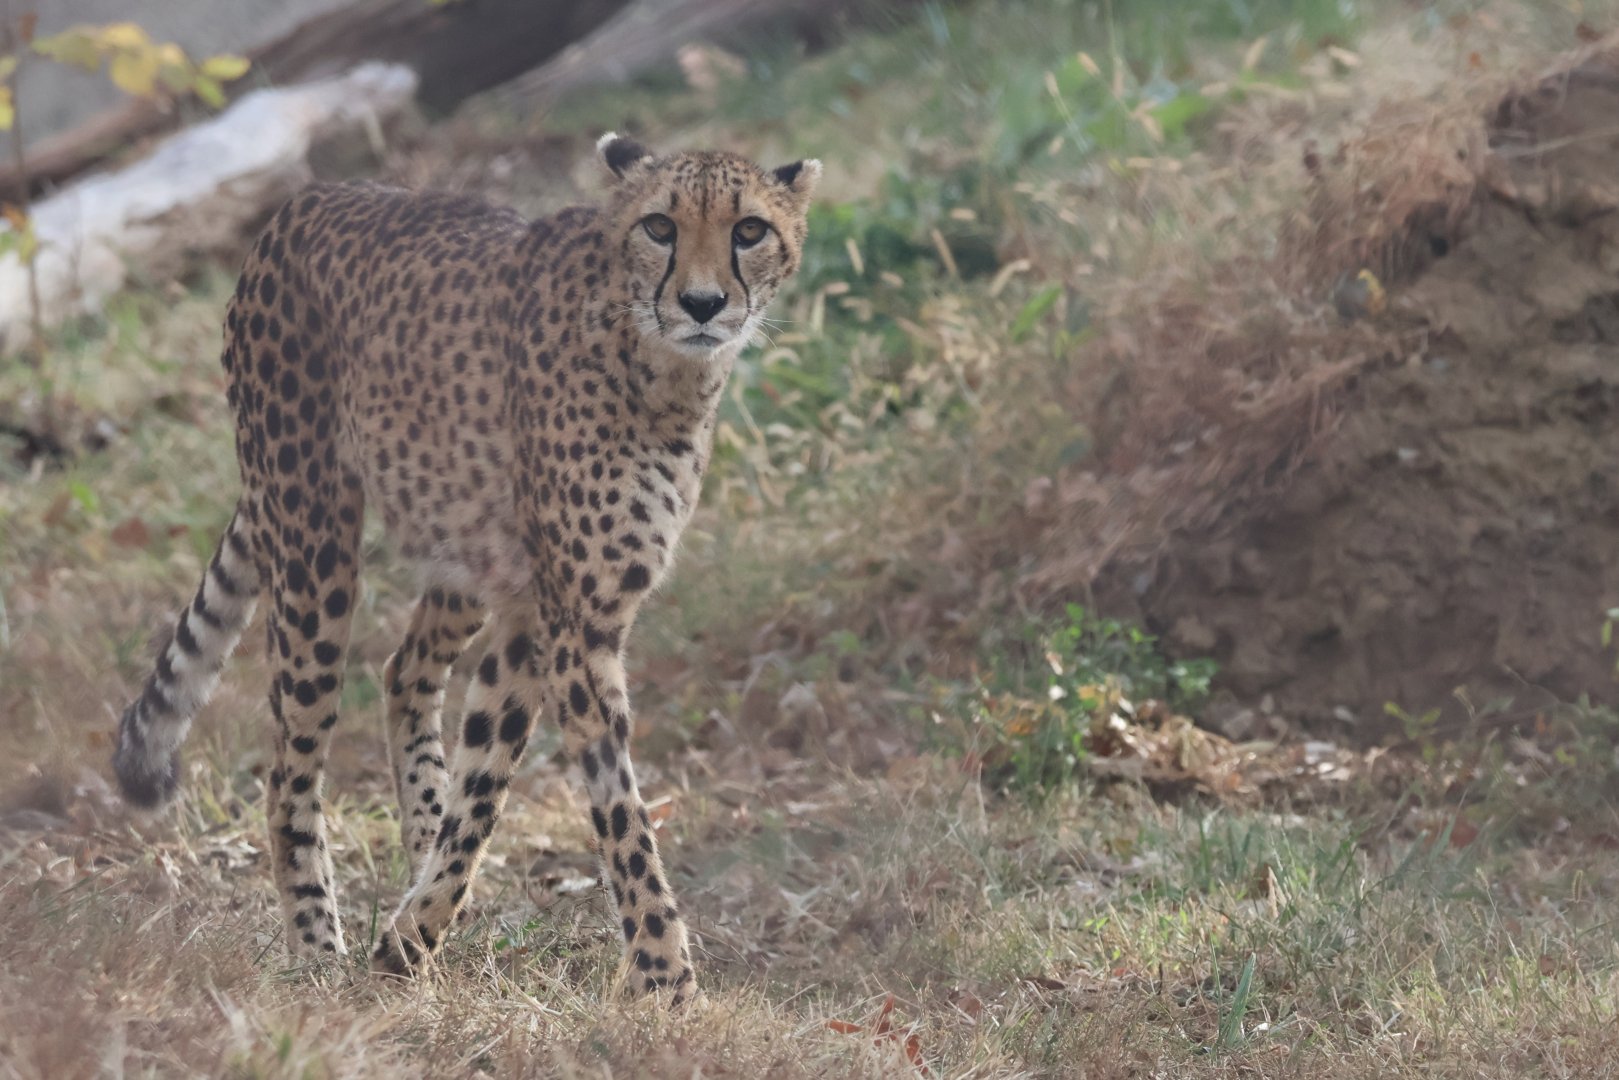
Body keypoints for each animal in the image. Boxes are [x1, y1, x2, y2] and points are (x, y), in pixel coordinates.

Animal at [111, 132, 821, 1008]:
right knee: (290, 766)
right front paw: (665, 978)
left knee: (405, 669)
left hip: (466, 558)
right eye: (659, 225)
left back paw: (417, 851)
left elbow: (485, 785)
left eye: (749, 231)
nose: (700, 303)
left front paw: (411, 936)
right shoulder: (575, 625)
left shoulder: (537, 617)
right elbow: (619, 809)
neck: (658, 370)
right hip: (313, 537)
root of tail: (312, 198)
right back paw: (315, 946)